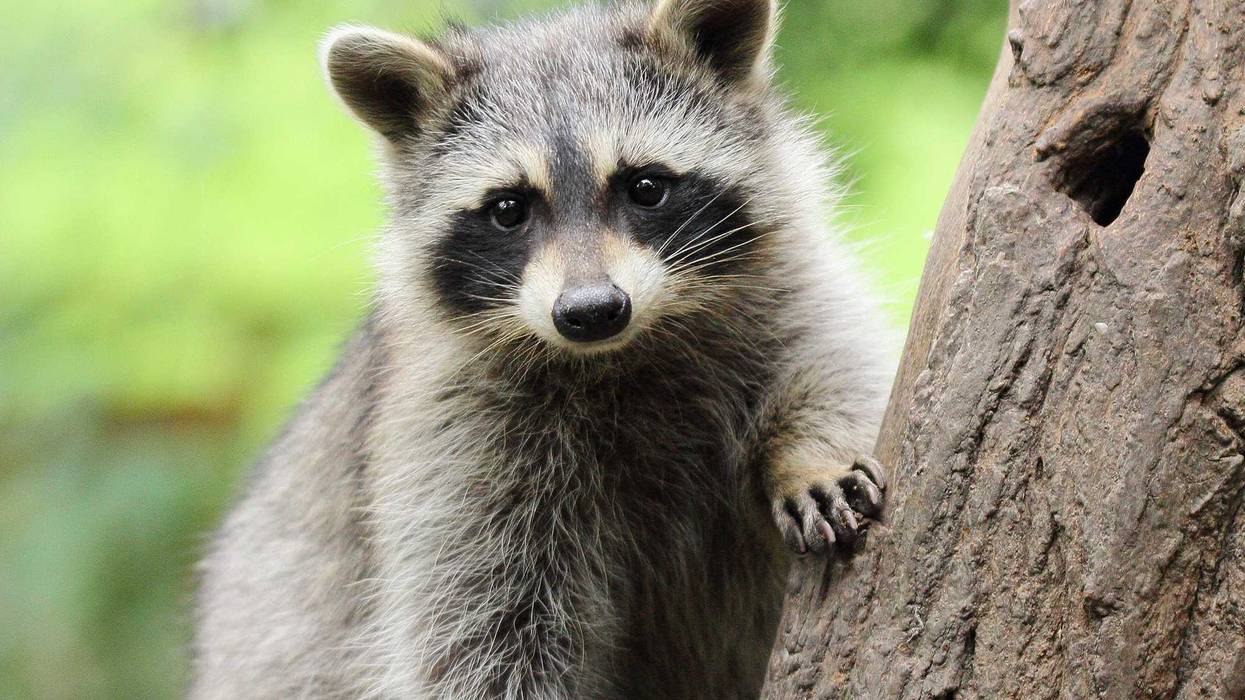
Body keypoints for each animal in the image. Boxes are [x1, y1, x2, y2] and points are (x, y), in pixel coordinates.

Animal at [191, 0, 896, 697]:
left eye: (645, 187)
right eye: (509, 208)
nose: (591, 311)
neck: (621, 353)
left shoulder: (789, 290)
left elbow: (838, 365)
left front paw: (809, 453)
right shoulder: (453, 440)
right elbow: (483, 632)